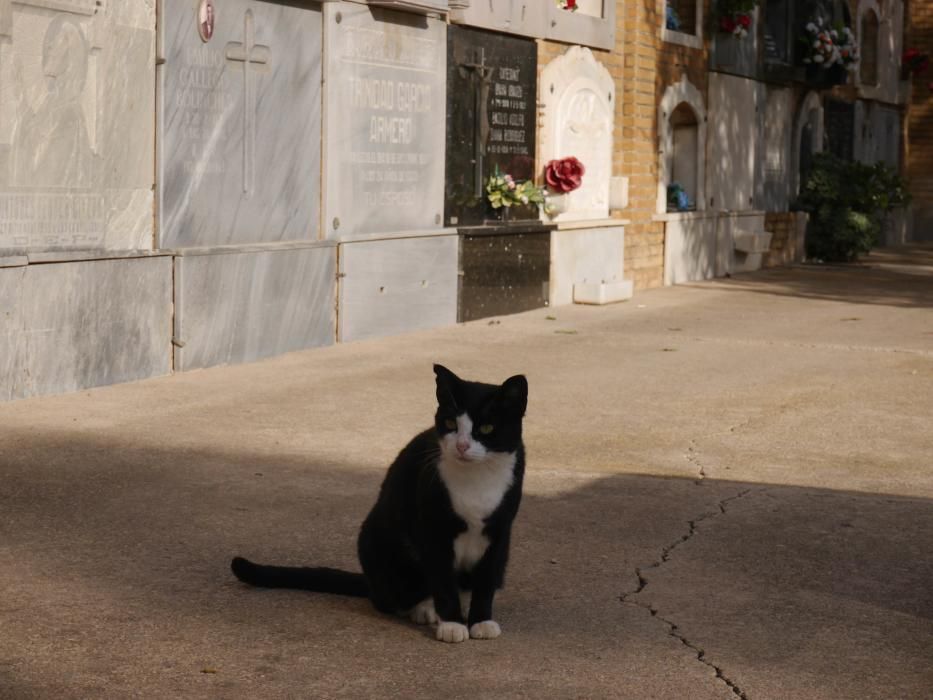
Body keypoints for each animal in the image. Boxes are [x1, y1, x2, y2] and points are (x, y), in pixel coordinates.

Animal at [230, 364, 528, 644]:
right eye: (451, 424)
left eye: (487, 428)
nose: (462, 446)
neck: (476, 479)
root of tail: (371, 582)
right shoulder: (433, 528)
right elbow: (443, 580)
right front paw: (452, 624)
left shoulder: (500, 532)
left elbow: (486, 580)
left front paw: (481, 621)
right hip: (381, 544)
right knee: (393, 596)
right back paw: (425, 609)